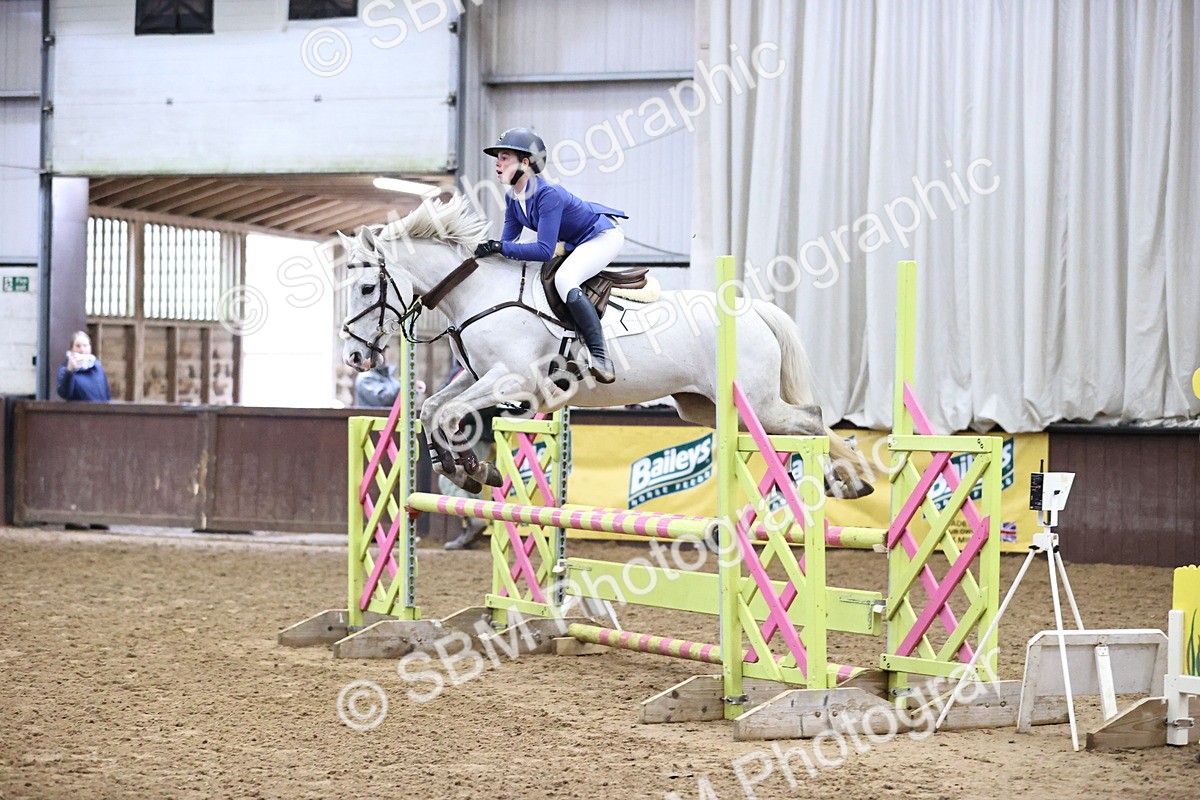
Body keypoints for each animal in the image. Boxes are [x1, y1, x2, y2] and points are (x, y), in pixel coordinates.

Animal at [338, 195, 873, 500]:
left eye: (365, 288)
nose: (355, 358)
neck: (481, 293)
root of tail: (754, 310)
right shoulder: (478, 377)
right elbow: (432, 408)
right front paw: (467, 469)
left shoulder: (512, 380)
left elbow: (449, 413)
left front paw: (468, 469)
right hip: (710, 408)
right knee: (796, 426)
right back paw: (845, 481)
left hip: (755, 401)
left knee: (811, 418)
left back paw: (851, 480)